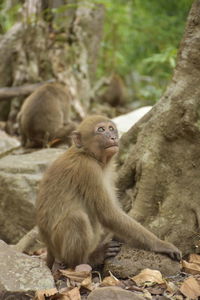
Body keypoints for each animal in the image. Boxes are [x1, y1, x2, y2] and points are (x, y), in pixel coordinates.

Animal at [36, 115, 181, 270]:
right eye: (101, 130)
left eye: (111, 128)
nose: (113, 137)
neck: (87, 154)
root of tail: (49, 248)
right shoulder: (89, 169)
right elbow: (108, 213)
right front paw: (160, 244)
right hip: (59, 247)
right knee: (76, 218)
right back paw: (86, 259)